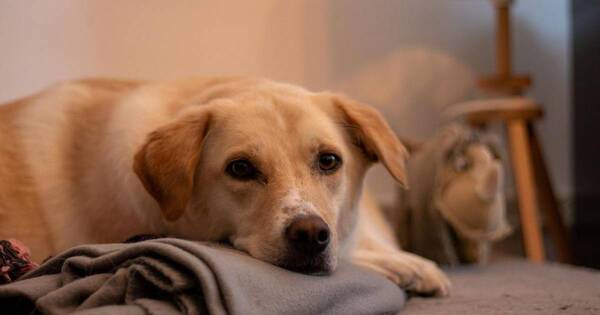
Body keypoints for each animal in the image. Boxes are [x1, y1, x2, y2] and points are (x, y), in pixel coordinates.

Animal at [0, 78, 450, 298]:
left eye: (329, 161)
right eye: (241, 168)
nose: (310, 235)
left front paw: (408, 262)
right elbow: (354, 257)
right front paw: (404, 268)